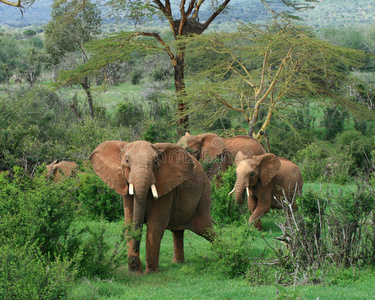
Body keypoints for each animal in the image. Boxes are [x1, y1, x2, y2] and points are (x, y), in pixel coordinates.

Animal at [89, 139, 216, 274]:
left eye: (155, 162)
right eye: (127, 161)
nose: (135, 250)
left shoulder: (166, 187)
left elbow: (155, 227)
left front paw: (150, 272)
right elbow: (130, 224)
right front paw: (134, 273)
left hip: (204, 193)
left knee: (205, 229)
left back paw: (222, 254)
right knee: (178, 232)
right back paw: (178, 263)